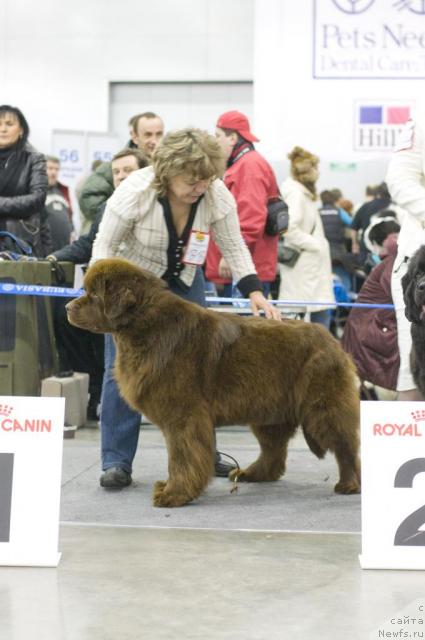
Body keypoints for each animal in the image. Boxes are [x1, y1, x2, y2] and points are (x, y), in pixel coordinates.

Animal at [66, 258, 358, 508]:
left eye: (93, 295)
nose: (67, 307)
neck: (145, 328)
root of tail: (331, 339)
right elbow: (180, 456)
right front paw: (170, 489)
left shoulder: (183, 416)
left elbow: (181, 457)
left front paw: (174, 494)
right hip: (269, 408)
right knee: (273, 448)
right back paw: (253, 473)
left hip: (321, 406)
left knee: (344, 443)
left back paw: (349, 483)